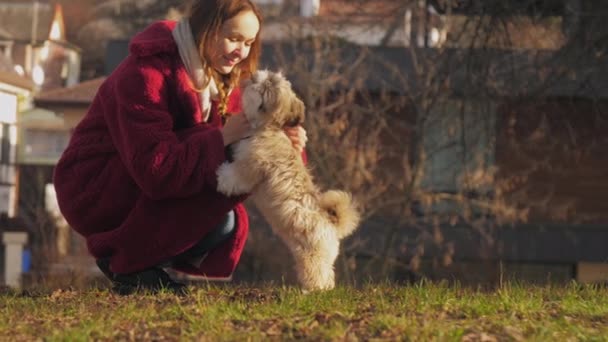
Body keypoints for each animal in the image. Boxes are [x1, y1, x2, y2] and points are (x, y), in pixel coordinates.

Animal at [217, 69, 360, 292]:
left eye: (266, 86)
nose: (256, 74)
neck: (268, 128)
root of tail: (331, 224)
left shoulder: (252, 165)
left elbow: (237, 175)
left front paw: (222, 177)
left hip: (311, 256)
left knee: (318, 275)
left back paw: (311, 292)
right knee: (328, 275)